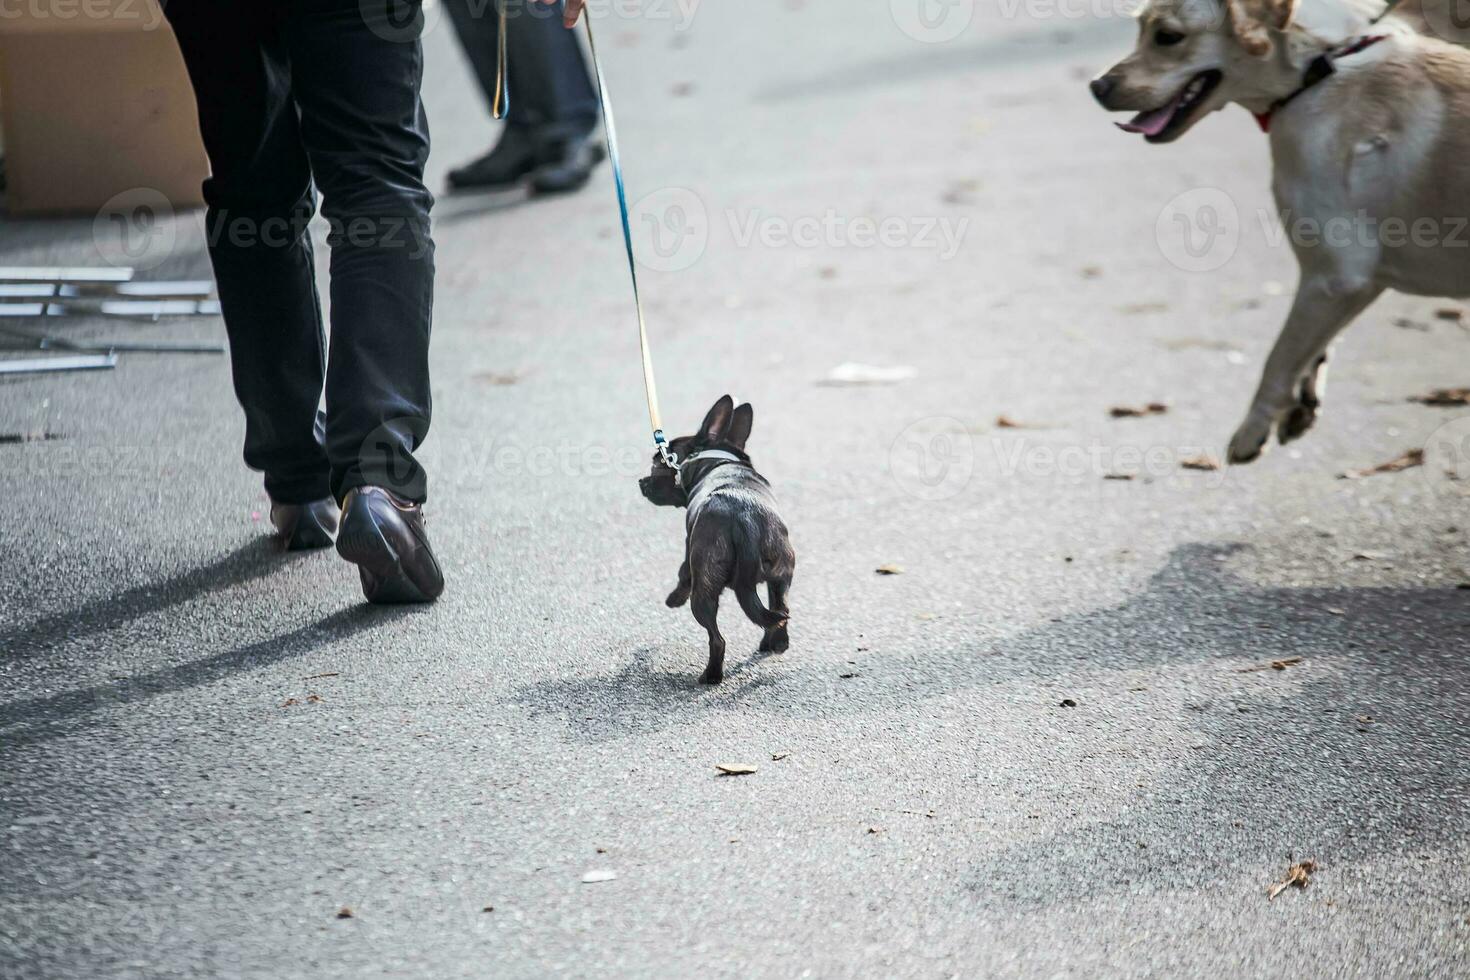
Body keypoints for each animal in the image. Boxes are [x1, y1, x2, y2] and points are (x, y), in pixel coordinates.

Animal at [640, 393, 799, 687]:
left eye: (659, 463)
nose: (641, 482)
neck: (719, 461)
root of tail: (745, 519)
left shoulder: (689, 546)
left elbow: (682, 573)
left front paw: (673, 599)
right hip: (781, 574)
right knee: (778, 611)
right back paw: (774, 644)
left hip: (704, 589)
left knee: (717, 639)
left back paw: (710, 676)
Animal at [1087, 0, 1470, 464]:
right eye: (1140, 29)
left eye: (1168, 37)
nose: (1097, 86)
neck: (1317, 68)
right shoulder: (1348, 280)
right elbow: (1315, 343)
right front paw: (1300, 403)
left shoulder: (1334, 275)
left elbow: (1278, 357)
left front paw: (1252, 429)